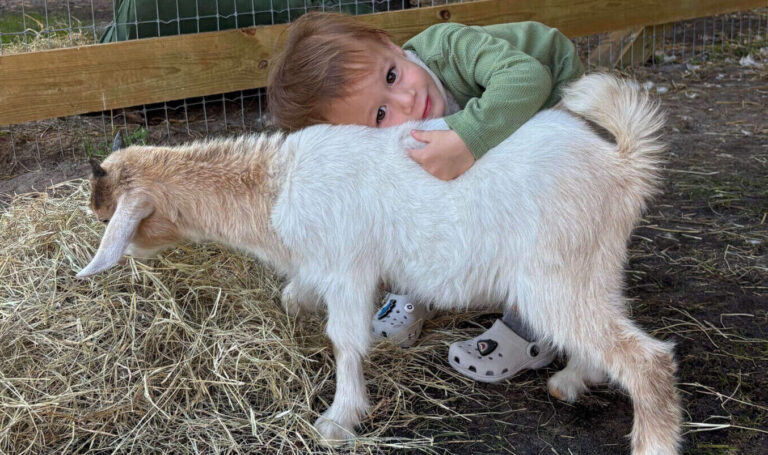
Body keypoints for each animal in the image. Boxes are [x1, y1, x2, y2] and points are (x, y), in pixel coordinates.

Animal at [77, 74, 681, 454]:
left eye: (112, 216)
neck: (275, 185)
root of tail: (624, 165)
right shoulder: (320, 263)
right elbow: (297, 295)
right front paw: (295, 314)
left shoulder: (348, 268)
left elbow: (346, 339)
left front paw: (338, 418)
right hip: (592, 264)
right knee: (608, 332)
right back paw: (573, 380)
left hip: (554, 273)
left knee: (646, 357)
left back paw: (651, 440)